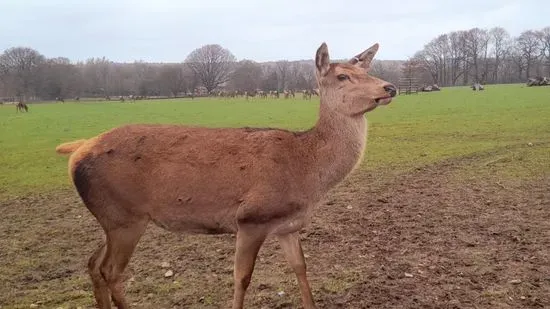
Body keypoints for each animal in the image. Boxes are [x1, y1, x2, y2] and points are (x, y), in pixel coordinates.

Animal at [55, 41, 396, 308]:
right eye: (343, 76)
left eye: (367, 72)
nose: (390, 87)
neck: (306, 171)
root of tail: (78, 149)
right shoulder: (251, 218)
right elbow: (242, 278)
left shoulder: (288, 225)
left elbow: (301, 267)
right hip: (125, 217)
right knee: (111, 271)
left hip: (112, 218)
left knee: (93, 264)